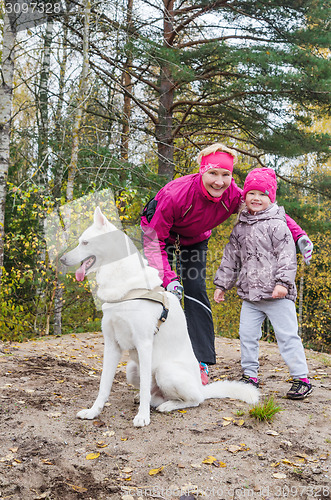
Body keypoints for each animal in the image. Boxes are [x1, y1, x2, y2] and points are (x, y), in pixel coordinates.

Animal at [60, 206, 260, 426]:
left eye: (85, 243)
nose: (62, 259)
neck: (126, 289)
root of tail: (201, 387)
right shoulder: (112, 345)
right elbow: (104, 385)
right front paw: (94, 412)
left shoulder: (144, 343)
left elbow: (143, 388)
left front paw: (142, 417)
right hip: (132, 369)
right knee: (152, 393)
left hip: (166, 371)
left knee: (194, 400)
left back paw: (169, 405)